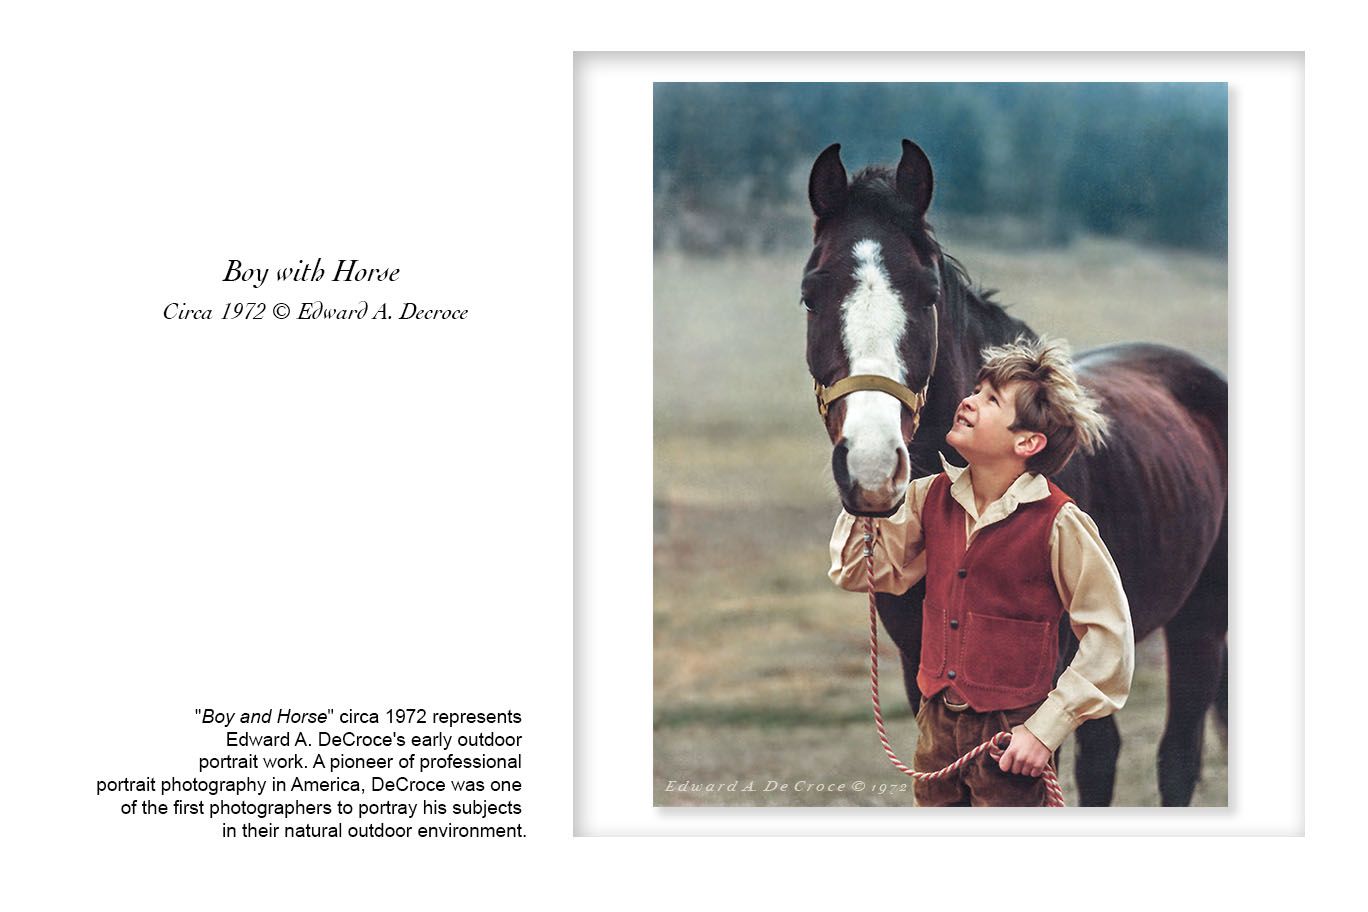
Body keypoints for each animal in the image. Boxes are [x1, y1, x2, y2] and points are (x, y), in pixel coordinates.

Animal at [803, 140, 1227, 806]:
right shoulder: (918, 670)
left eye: (927, 294)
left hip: (1199, 622)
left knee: (1176, 759)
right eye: (810, 294)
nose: (872, 468)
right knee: (1104, 756)